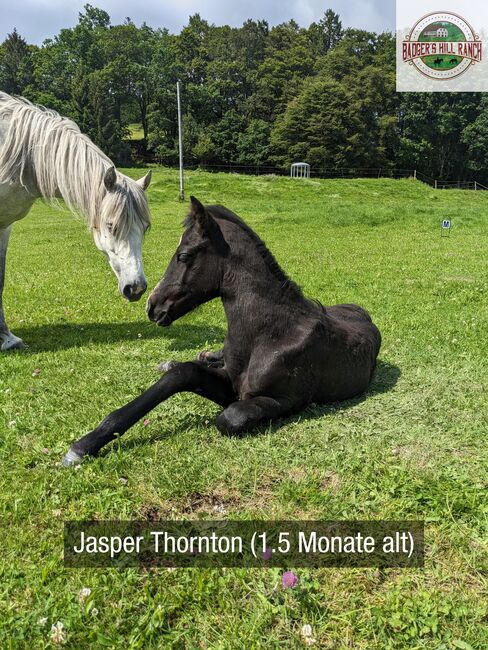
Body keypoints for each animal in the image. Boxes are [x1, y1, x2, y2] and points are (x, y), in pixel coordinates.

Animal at [63, 195, 382, 464]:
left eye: (184, 255)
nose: (152, 306)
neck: (271, 334)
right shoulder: (228, 381)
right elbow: (184, 373)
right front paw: (85, 444)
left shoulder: (287, 401)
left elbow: (228, 418)